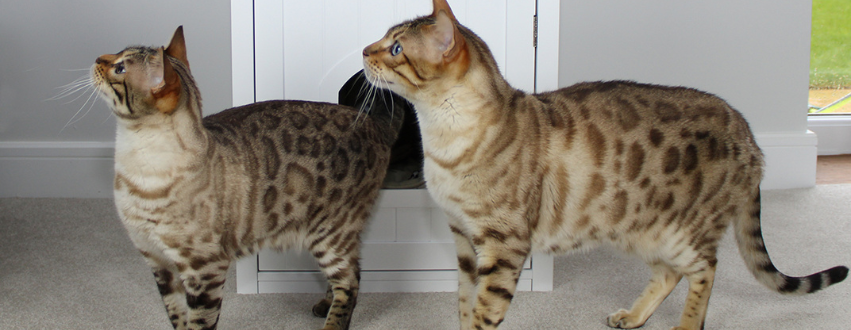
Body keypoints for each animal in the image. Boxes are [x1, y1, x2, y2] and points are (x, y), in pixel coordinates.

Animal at [94, 26, 402, 330]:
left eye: (119, 68)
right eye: (117, 55)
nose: (98, 59)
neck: (134, 171)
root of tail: (369, 120)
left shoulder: (204, 269)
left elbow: (199, 322)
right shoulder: (158, 263)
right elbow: (177, 316)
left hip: (330, 233)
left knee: (350, 281)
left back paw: (332, 322)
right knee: (348, 273)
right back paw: (324, 305)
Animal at [362, 1, 848, 328]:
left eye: (396, 48)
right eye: (384, 39)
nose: (365, 51)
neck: (440, 140)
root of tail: (749, 132)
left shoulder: (503, 246)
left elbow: (485, 311)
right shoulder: (463, 241)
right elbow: (465, 306)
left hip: (684, 231)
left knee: (706, 271)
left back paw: (685, 326)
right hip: (642, 229)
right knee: (669, 274)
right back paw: (632, 317)